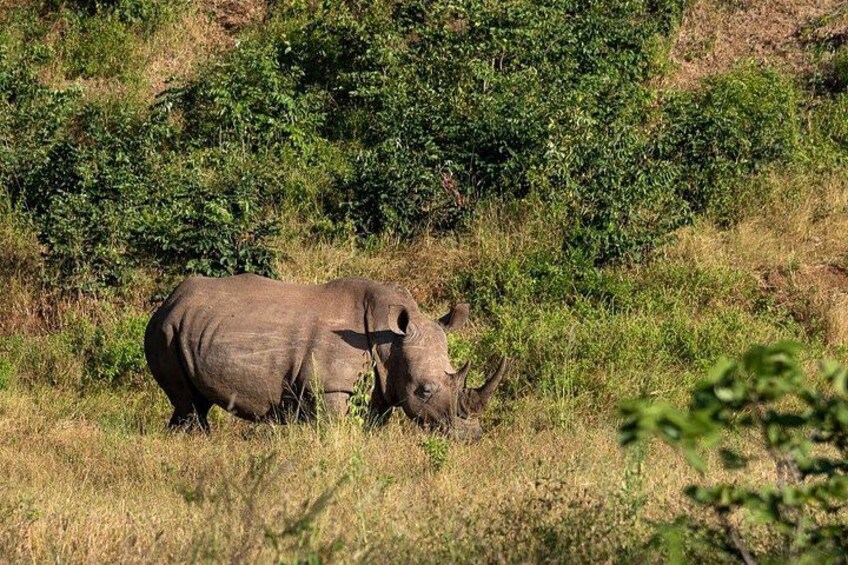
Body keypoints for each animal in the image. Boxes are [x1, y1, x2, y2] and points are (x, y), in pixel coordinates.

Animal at [144, 274, 507, 440]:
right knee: (187, 402)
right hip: (165, 330)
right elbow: (335, 428)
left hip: (184, 328)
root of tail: (170, 300)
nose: (472, 436)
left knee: (192, 402)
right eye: (425, 390)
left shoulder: (382, 386)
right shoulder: (331, 387)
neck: (389, 340)